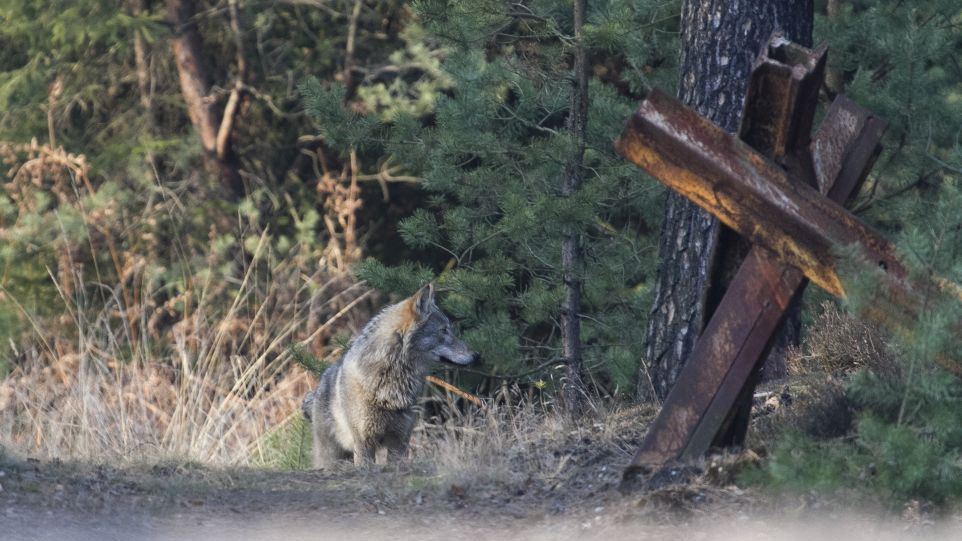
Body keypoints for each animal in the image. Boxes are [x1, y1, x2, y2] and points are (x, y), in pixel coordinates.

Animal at [301, 283, 479, 467]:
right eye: (443, 331)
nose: (477, 356)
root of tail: (318, 388)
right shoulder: (364, 442)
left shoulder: (400, 439)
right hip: (331, 456)